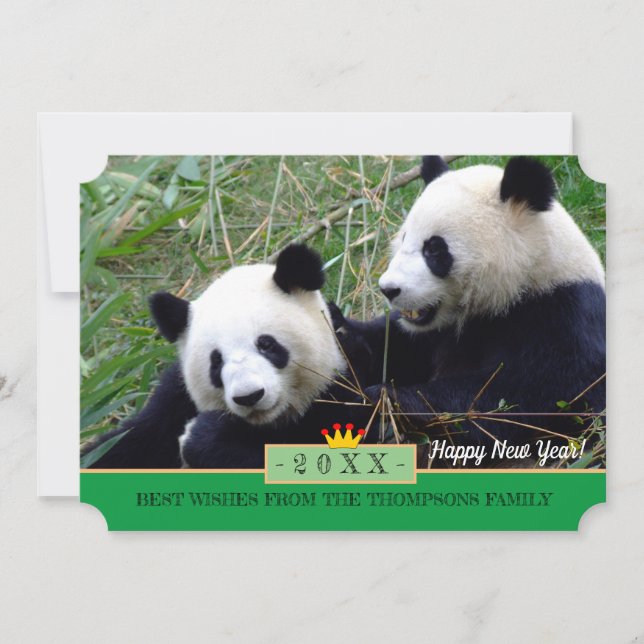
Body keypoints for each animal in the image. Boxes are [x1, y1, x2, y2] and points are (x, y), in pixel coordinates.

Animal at [84, 244, 371, 469]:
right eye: (216, 361)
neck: (268, 425)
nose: (249, 396)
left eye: (266, 344)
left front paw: (205, 436)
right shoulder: (171, 406)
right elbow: (122, 447)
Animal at [336, 156, 606, 462]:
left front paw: (389, 399)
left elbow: (527, 396)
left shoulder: (560, 316)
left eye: (434, 249)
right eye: (404, 238)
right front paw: (342, 333)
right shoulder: (434, 333)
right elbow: (392, 347)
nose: (389, 289)